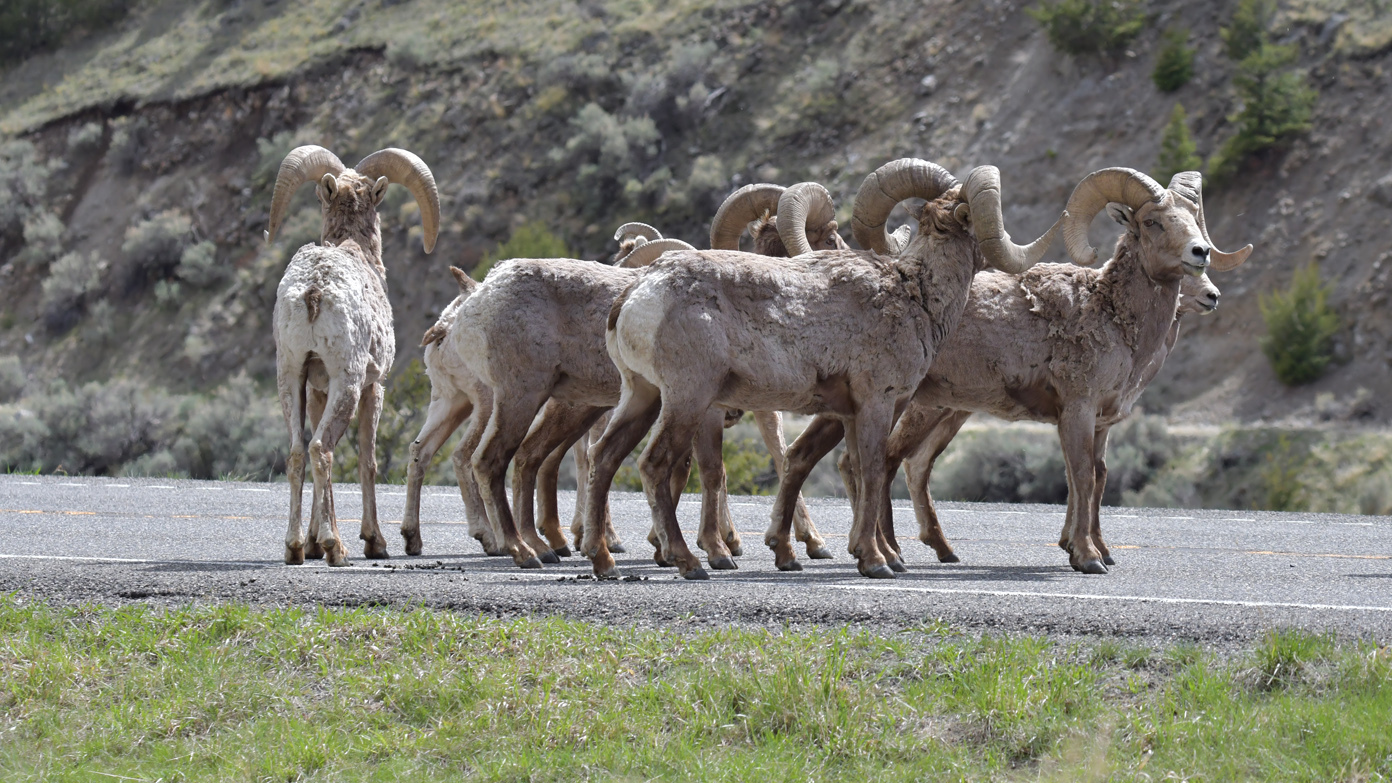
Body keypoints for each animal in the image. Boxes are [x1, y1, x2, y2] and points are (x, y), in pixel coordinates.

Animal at [266, 145, 440, 566]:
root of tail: (313, 290)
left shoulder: (316, 389)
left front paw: (312, 543)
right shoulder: (373, 388)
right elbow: (368, 461)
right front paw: (375, 542)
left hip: (289, 377)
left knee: (298, 452)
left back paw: (295, 548)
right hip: (347, 381)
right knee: (321, 450)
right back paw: (336, 547)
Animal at [580, 158, 1059, 580]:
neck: (914, 295)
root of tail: (638, 294)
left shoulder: (850, 412)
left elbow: (853, 472)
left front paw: (860, 554)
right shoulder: (876, 404)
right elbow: (871, 471)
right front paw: (877, 562)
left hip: (642, 396)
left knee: (604, 458)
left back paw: (605, 564)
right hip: (686, 400)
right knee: (654, 465)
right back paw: (691, 563)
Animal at [768, 168, 1252, 575]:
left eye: (1194, 220)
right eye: (1153, 222)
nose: (1202, 260)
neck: (1110, 312)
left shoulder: (1100, 422)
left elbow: (1093, 479)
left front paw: (1091, 550)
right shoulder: (1077, 410)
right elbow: (1081, 476)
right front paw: (1088, 558)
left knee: (866, 462)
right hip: (887, 404)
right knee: (860, 462)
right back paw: (878, 555)